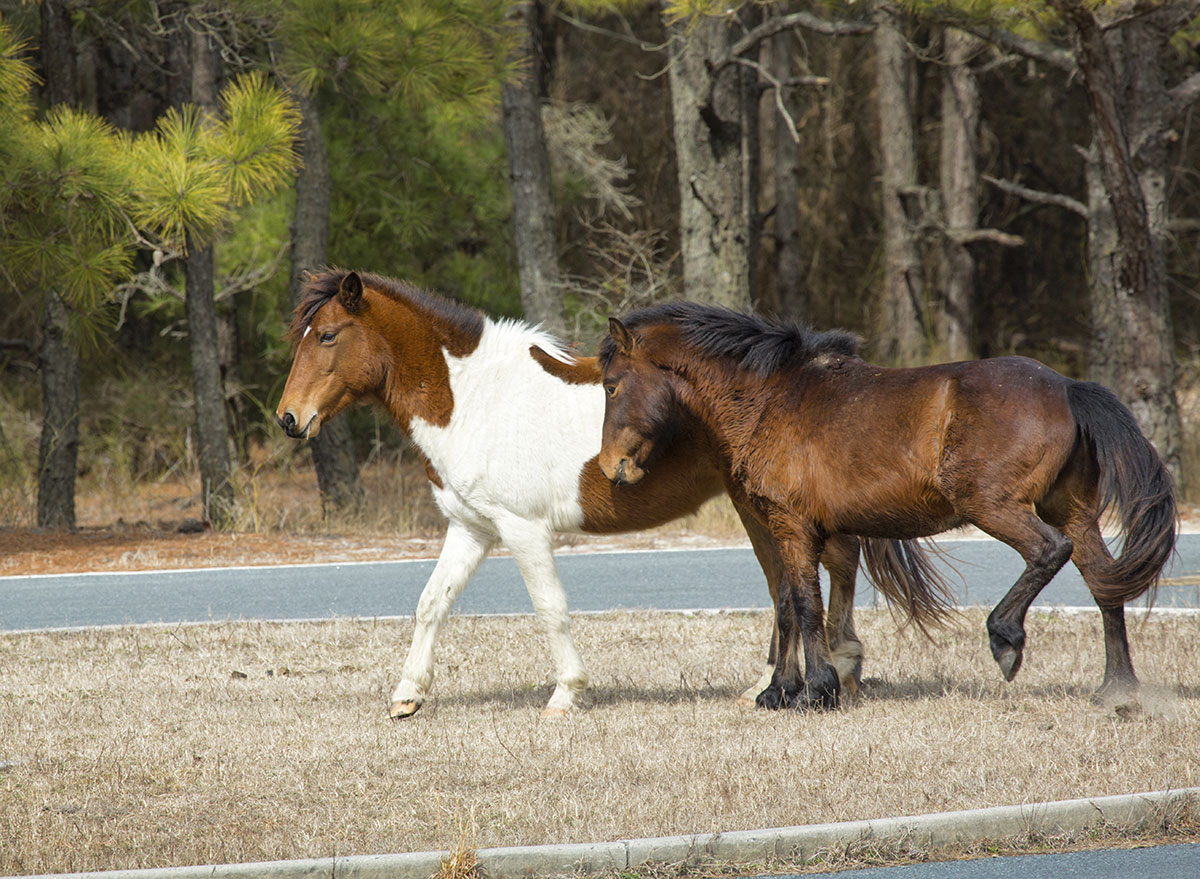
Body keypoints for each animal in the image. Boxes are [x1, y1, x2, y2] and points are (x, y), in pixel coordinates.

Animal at [276, 271, 950, 715]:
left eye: (328, 335)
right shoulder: (472, 528)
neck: (473, 399)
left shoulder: (522, 530)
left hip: (763, 508)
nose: (288, 418)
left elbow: (550, 608)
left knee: (813, 573)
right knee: (805, 576)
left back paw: (823, 673)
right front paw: (407, 696)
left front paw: (566, 694)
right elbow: (430, 603)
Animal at [595, 300, 1176, 706]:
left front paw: (817, 689)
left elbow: (804, 604)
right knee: (1103, 583)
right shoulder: (783, 527)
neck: (769, 399)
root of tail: (1068, 387)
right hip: (1072, 510)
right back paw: (1117, 690)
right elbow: (786, 603)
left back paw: (1006, 638)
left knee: (1048, 552)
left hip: (995, 507)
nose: (611, 467)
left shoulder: (792, 525)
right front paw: (779, 691)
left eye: (611, 386)